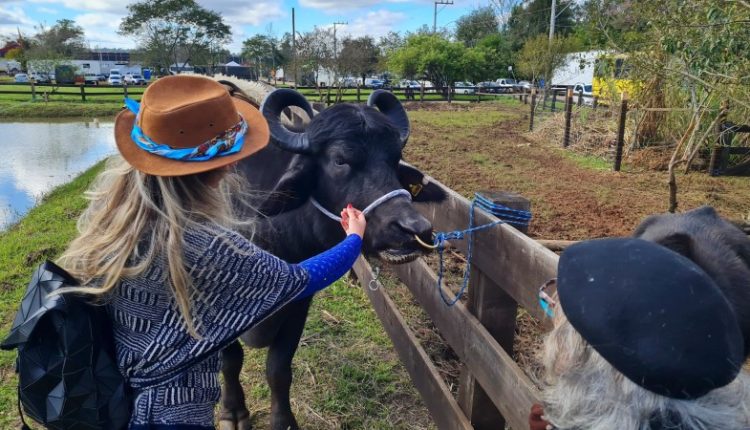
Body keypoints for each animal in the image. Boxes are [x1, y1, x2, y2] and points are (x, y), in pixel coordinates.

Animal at [220, 87, 446, 430]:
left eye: (395, 160)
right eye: (340, 160)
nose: (415, 229)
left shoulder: (299, 301)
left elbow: (278, 369)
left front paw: (283, 421)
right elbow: (230, 359)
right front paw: (233, 411)